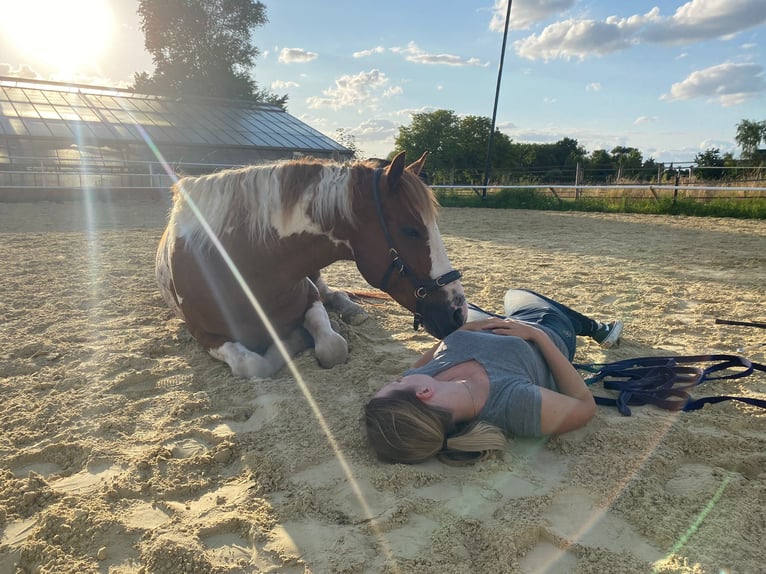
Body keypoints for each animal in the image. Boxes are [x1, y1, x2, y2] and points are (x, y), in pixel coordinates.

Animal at [156, 151, 468, 380]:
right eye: (410, 230)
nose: (458, 312)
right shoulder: (204, 335)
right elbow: (254, 365)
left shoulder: (310, 296)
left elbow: (332, 346)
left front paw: (303, 337)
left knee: (333, 292)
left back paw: (350, 312)